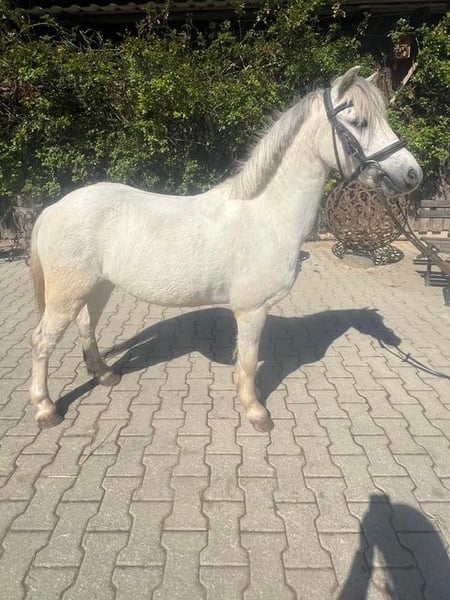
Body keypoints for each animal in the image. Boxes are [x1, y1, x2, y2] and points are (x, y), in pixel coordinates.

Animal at [29, 66, 422, 432]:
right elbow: (248, 362)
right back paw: (46, 409)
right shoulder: (251, 310)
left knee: (86, 327)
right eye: (358, 122)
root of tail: (52, 209)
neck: (267, 214)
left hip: (99, 287)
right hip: (67, 295)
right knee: (43, 341)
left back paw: (105, 375)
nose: (412, 175)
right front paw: (256, 412)